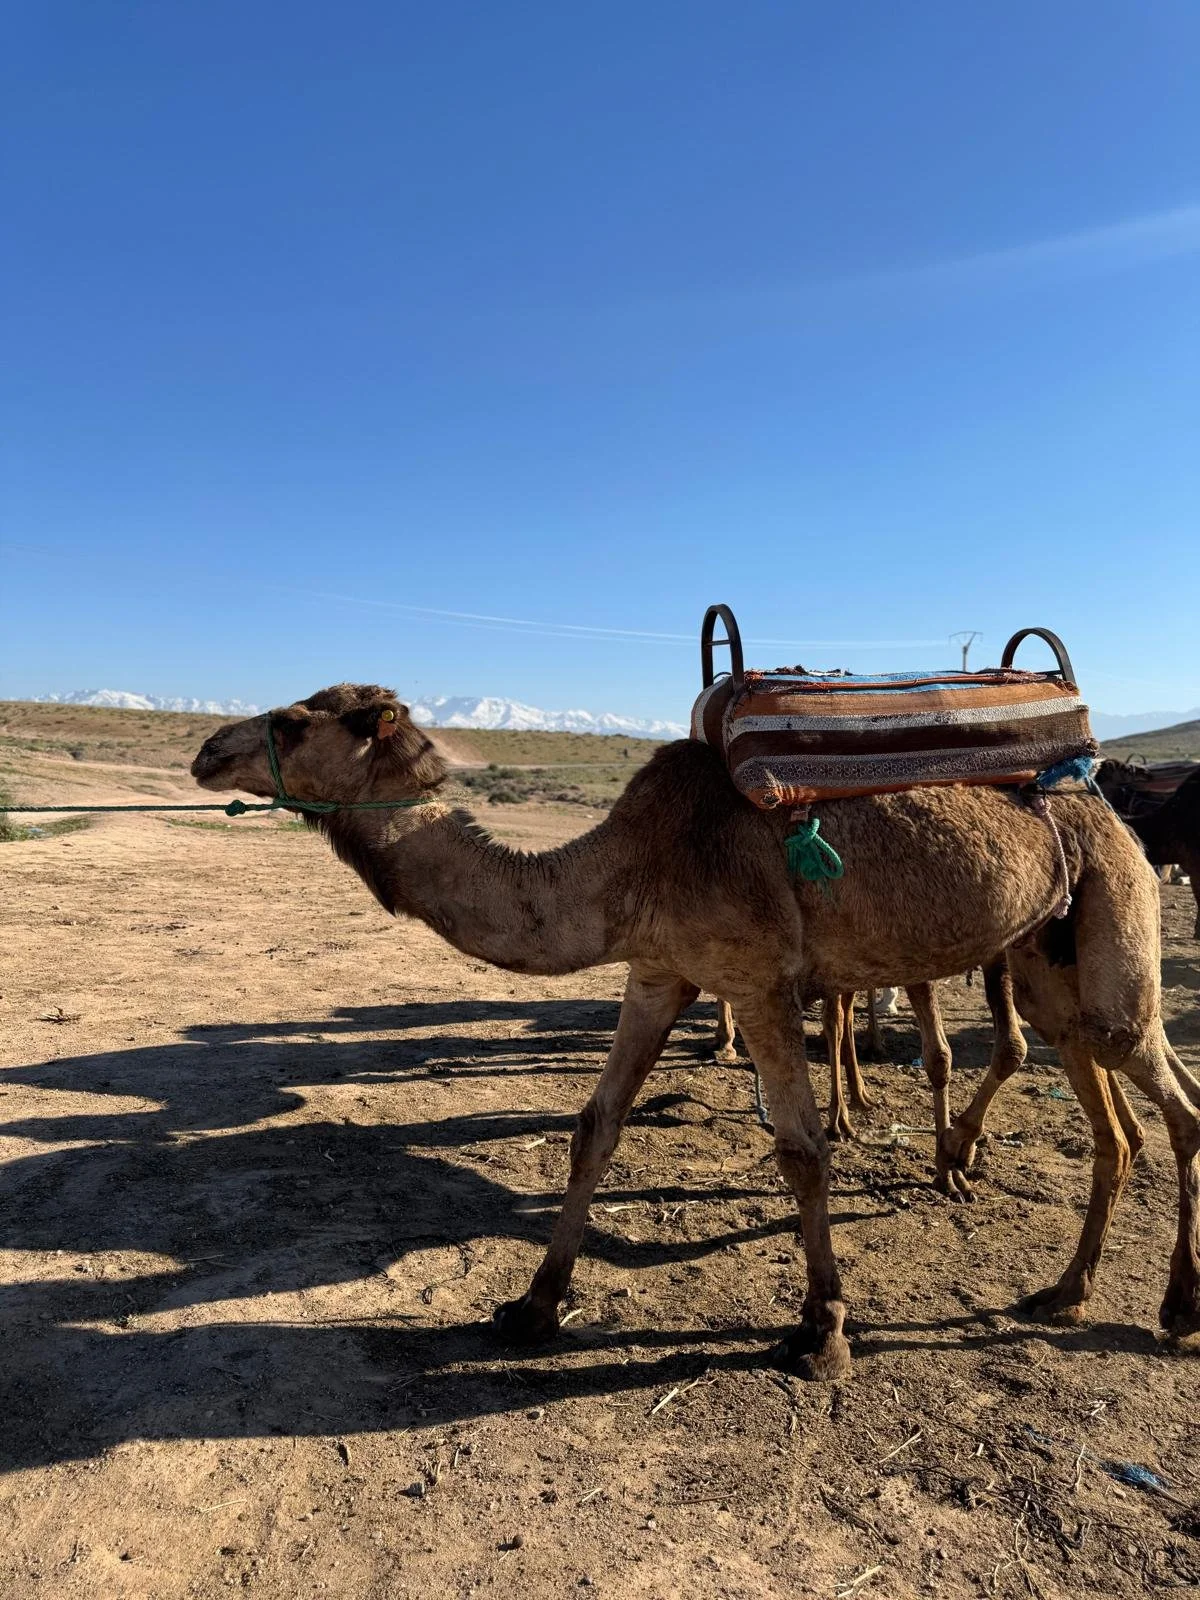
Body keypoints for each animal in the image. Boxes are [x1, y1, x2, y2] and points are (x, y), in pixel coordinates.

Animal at [190, 685, 1200, 1379]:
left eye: (293, 720)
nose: (205, 749)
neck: (627, 866)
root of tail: (1102, 801)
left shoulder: (757, 982)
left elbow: (801, 1152)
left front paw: (823, 1331)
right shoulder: (656, 973)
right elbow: (594, 1127)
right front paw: (533, 1307)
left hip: (1112, 922)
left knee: (1173, 1100)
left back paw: (1175, 1306)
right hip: (1045, 962)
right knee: (1108, 1113)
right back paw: (1063, 1291)